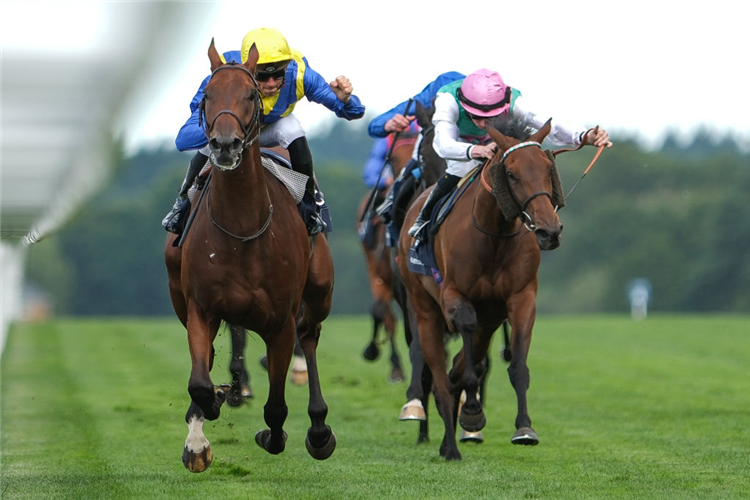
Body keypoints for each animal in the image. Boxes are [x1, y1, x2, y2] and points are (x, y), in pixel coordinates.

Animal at [167, 40, 338, 472]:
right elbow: (199, 382)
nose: (224, 145)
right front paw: (203, 426)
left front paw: (273, 434)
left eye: (249, 94)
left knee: (310, 336)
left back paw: (318, 428)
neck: (243, 228)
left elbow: (276, 409)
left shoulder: (281, 323)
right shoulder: (201, 308)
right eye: (207, 97)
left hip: (320, 291)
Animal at [400, 118, 564, 460]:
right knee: (437, 372)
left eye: (547, 168)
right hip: (423, 308)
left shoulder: (521, 298)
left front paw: (524, 428)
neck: (494, 234)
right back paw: (449, 444)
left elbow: (516, 364)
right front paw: (473, 411)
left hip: (489, 321)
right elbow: (466, 348)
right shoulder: (455, 297)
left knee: (456, 369)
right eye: (511, 174)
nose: (549, 231)